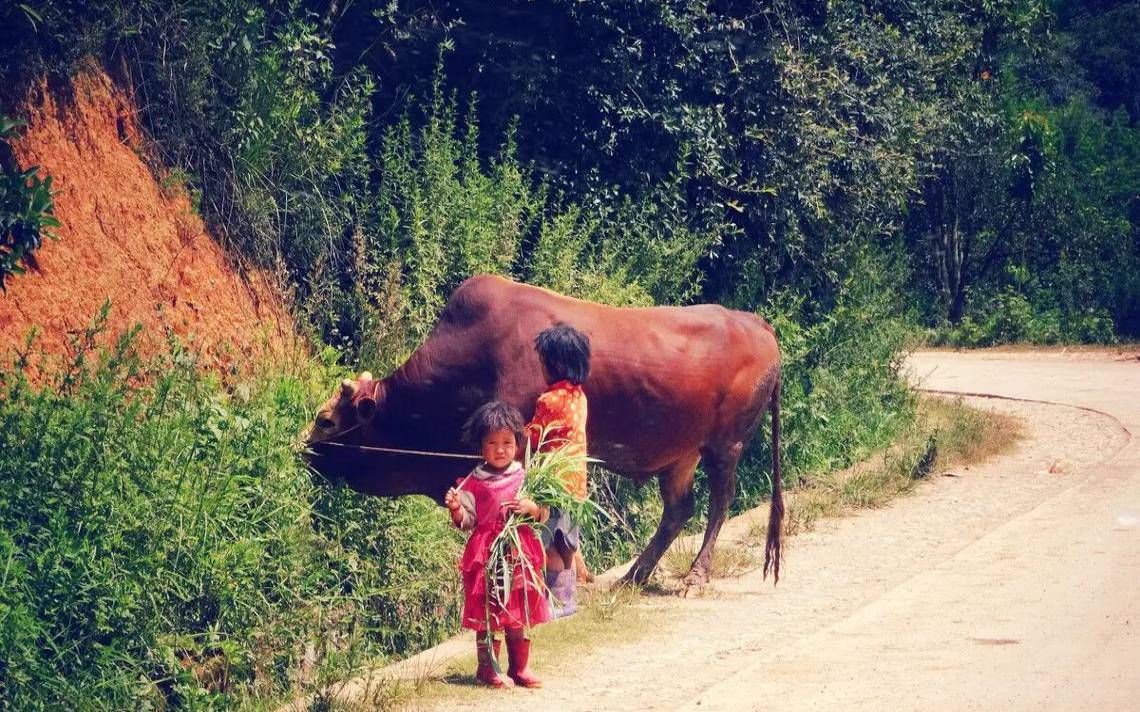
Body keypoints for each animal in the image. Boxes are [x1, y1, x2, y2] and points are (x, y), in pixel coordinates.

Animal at [305, 272, 784, 583]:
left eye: (326, 420)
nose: (304, 453)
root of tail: (755, 322)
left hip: (726, 444)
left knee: (719, 502)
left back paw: (696, 575)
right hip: (682, 454)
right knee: (678, 511)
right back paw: (633, 576)